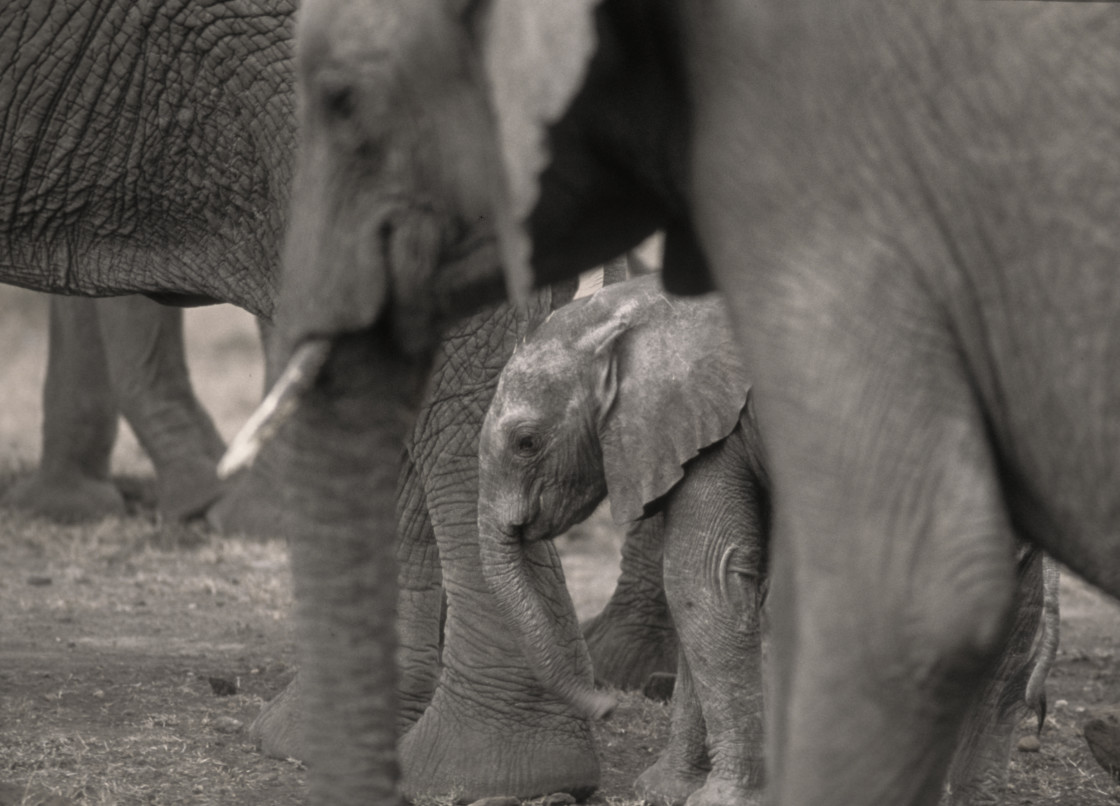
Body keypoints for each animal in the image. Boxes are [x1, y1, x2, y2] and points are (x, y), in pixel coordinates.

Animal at [477, 272, 766, 806]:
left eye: (527, 443)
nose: (608, 706)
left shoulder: (709, 427)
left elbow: (699, 580)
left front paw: (722, 798)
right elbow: (697, 595)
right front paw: (663, 789)